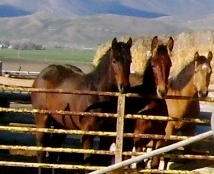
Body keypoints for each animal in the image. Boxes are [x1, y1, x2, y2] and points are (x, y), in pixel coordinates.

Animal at [30, 37, 133, 173]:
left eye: (130, 60)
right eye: (114, 61)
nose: (124, 86)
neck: (97, 94)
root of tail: (42, 74)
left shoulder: (105, 136)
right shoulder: (87, 135)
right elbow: (87, 163)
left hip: (61, 125)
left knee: (53, 150)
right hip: (42, 119)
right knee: (41, 150)